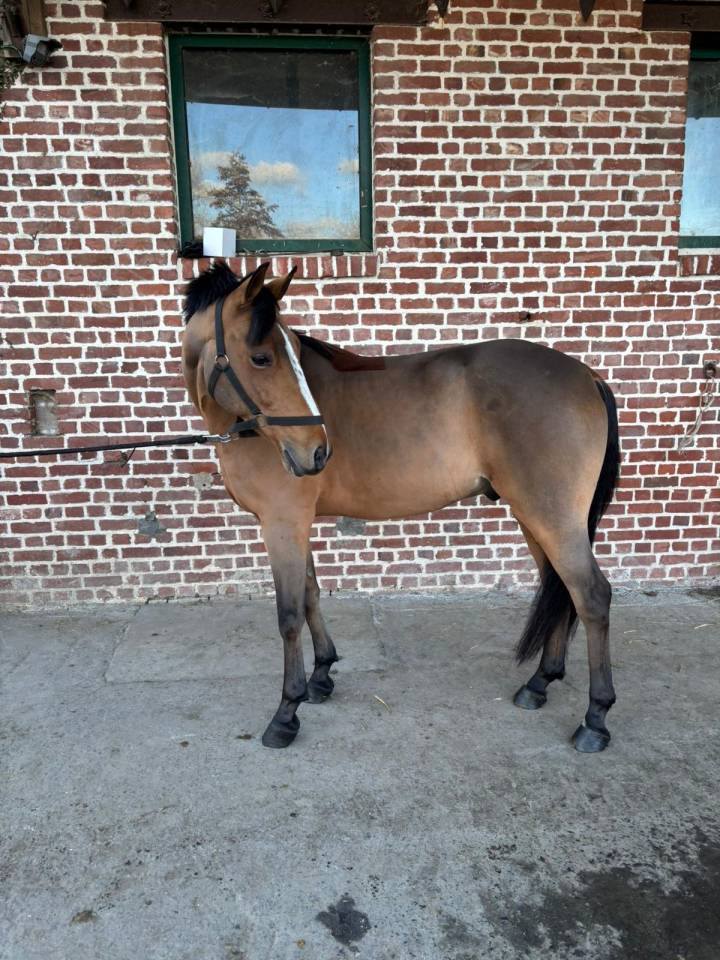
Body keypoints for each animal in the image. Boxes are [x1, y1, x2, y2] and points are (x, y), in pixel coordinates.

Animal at [181, 261, 620, 754]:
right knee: (559, 589)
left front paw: (286, 712)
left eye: (286, 351)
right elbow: (311, 595)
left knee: (591, 596)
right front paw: (321, 676)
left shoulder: (282, 523)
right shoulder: (296, 524)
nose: (317, 451)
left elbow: (289, 614)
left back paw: (594, 719)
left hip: (552, 517)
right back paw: (540, 683)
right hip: (537, 517)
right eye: (262, 357)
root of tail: (585, 375)